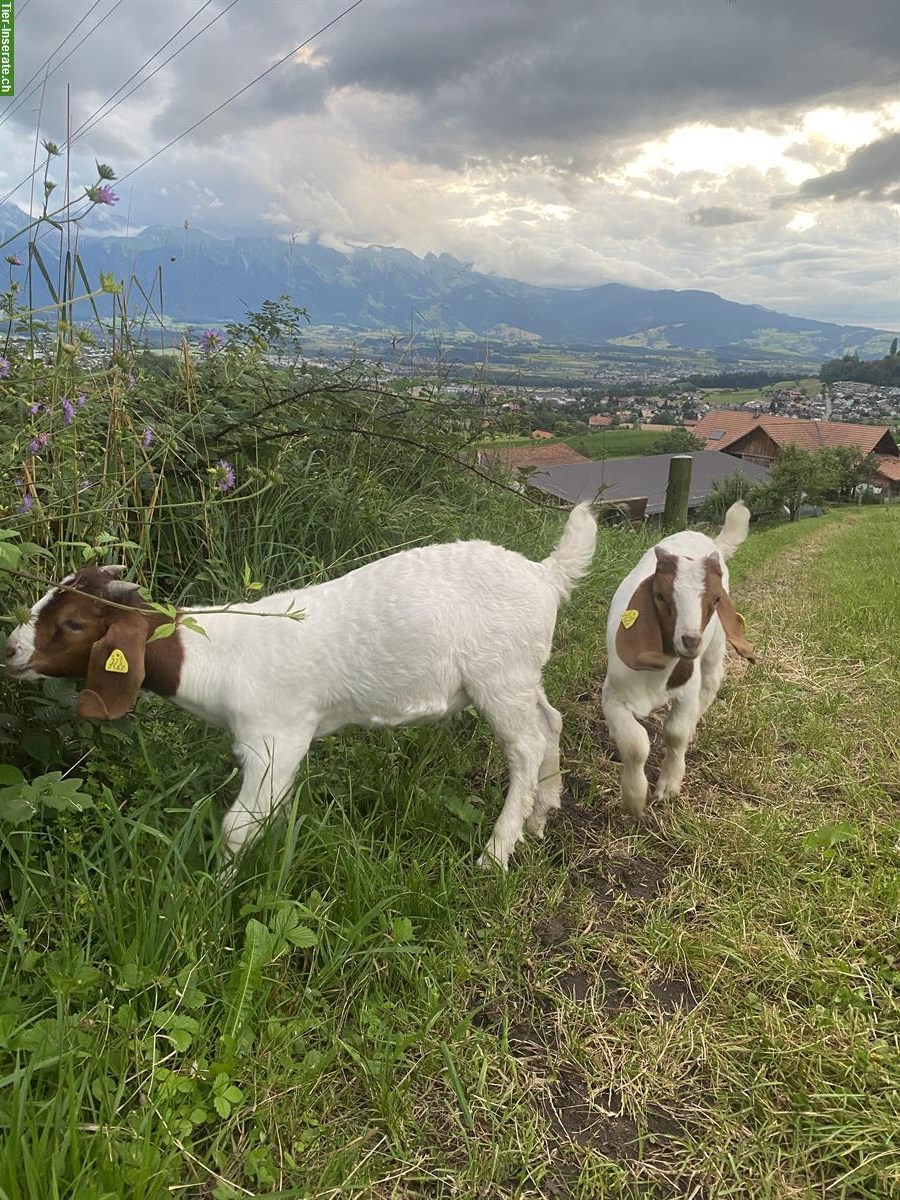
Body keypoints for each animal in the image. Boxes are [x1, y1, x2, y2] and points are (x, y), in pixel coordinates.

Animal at [7, 504, 602, 873]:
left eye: (75, 624)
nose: (9, 650)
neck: (219, 655)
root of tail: (546, 575)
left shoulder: (276, 739)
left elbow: (237, 827)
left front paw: (217, 892)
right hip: (523, 671)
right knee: (549, 720)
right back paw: (543, 815)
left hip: (499, 672)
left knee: (524, 745)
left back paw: (496, 853)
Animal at [602, 501, 758, 820]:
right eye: (660, 596)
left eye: (715, 600)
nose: (690, 641)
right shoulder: (613, 694)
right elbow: (635, 743)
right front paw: (634, 799)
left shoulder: (686, 692)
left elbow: (675, 733)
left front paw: (668, 787)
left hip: (714, 650)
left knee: (709, 687)